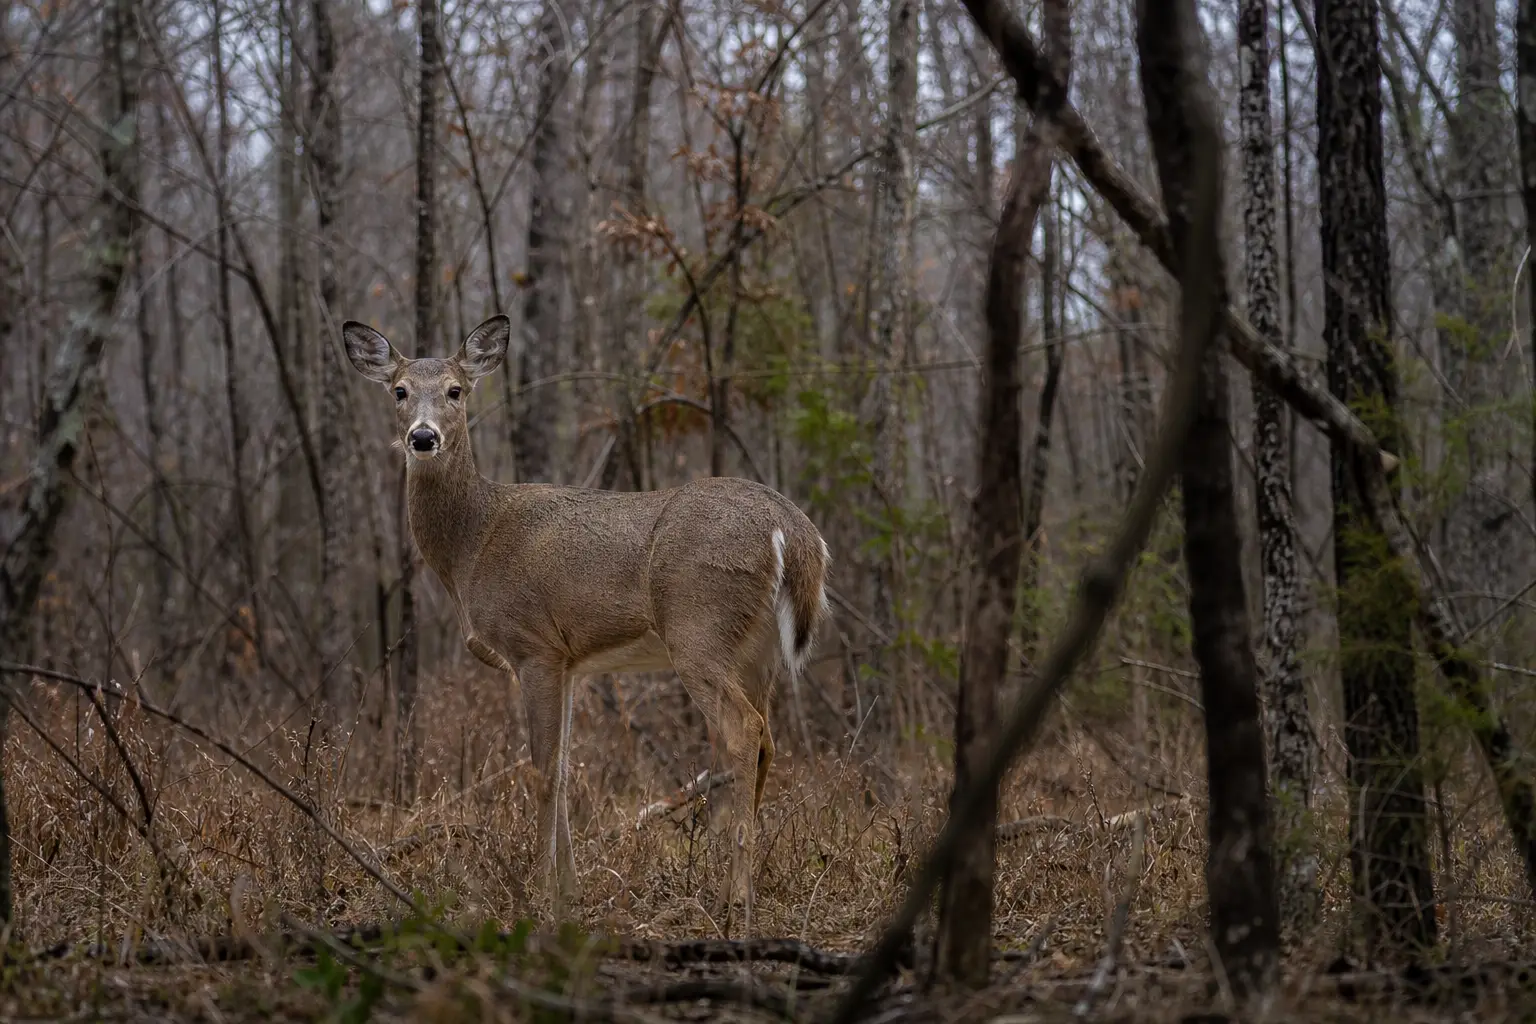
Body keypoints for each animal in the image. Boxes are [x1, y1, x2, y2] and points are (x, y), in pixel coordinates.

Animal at [342, 313, 830, 931]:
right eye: (400, 391)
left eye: (455, 391)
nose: (423, 437)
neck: (472, 544)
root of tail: (793, 530)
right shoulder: (570, 661)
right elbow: (567, 765)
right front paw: (570, 892)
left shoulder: (533, 646)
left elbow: (541, 769)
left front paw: (539, 894)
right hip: (757, 651)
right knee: (767, 738)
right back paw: (738, 888)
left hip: (698, 628)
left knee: (744, 730)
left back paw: (735, 899)